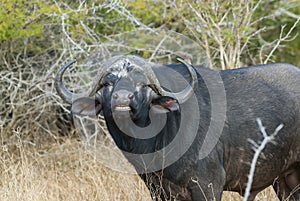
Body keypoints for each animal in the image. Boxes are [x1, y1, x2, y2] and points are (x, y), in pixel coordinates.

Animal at [54, 54, 300, 200]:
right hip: (284, 180)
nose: (122, 98)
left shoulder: (208, 185)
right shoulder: (158, 189)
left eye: (142, 84)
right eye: (107, 83)